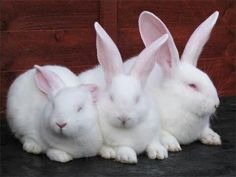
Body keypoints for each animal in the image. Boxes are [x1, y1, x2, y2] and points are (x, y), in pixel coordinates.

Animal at [78, 22, 169, 165]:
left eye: (137, 99)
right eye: (111, 97)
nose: (124, 117)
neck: (128, 130)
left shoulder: (154, 133)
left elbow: (153, 143)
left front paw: (159, 153)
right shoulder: (116, 143)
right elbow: (123, 147)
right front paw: (128, 157)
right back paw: (108, 152)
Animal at [136, 10, 221, 151]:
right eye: (192, 85)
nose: (216, 104)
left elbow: (204, 130)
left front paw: (213, 138)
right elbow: (163, 133)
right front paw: (172, 145)